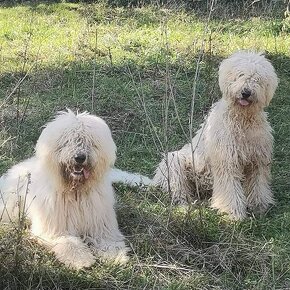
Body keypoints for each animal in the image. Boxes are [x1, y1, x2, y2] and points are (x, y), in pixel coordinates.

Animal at [0, 109, 129, 270]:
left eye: (89, 142)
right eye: (67, 141)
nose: (79, 157)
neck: (75, 192)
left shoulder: (100, 224)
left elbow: (107, 240)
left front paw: (115, 255)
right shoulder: (56, 228)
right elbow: (69, 242)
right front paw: (81, 259)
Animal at [153, 51, 278, 220]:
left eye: (256, 79)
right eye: (240, 75)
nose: (246, 92)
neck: (242, 119)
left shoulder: (257, 161)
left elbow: (258, 185)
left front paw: (259, 206)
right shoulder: (227, 160)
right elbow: (230, 188)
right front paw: (233, 212)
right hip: (175, 161)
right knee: (178, 188)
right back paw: (184, 204)